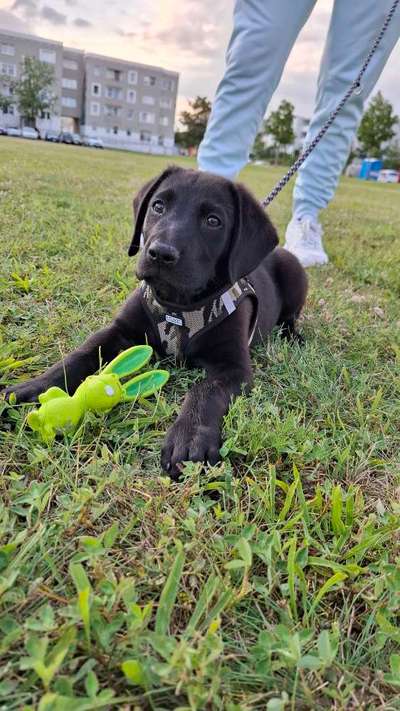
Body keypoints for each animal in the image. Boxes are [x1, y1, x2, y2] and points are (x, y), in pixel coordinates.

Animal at [3, 168, 306, 478]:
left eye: (213, 221)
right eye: (158, 206)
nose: (161, 253)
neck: (178, 306)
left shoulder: (234, 367)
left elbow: (205, 391)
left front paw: (189, 437)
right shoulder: (119, 332)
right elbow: (80, 355)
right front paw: (33, 388)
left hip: (296, 275)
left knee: (291, 316)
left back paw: (294, 336)